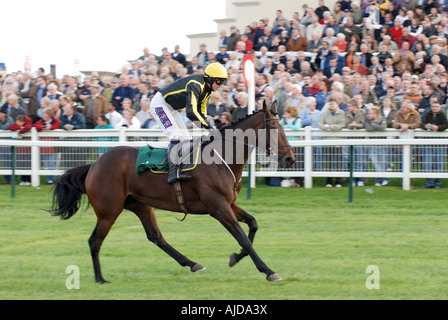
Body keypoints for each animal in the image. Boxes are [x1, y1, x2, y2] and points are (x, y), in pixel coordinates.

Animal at [50, 100, 294, 282]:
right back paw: (100, 279)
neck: (220, 158)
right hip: (109, 210)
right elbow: (243, 237)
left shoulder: (229, 203)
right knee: (95, 241)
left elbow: (252, 224)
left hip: (139, 204)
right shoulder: (218, 207)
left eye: (284, 127)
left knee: (156, 236)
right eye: (274, 129)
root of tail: (94, 165)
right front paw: (268, 270)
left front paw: (235, 258)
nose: (290, 158)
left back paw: (192, 263)